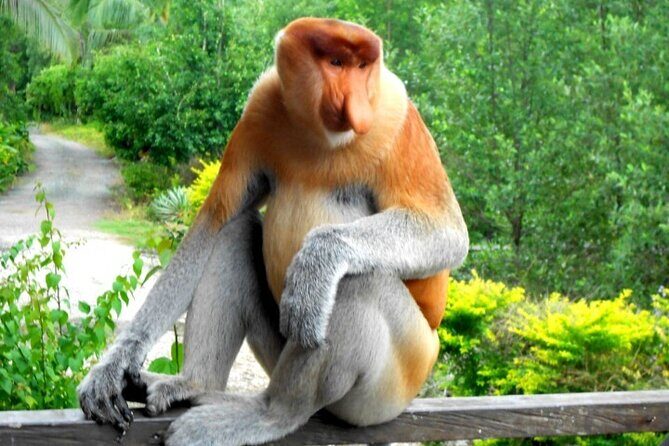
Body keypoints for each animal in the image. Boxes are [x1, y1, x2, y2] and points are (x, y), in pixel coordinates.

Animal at [77, 18, 468, 446]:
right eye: (336, 62)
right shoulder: (260, 108)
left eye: (363, 67)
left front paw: (318, 260)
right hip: (280, 348)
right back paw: (194, 384)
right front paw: (111, 369)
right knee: (235, 231)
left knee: (357, 282)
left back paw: (270, 413)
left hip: (397, 377)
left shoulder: (395, 119)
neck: (318, 133)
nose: (356, 102)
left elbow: (447, 233)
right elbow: (214, 221)